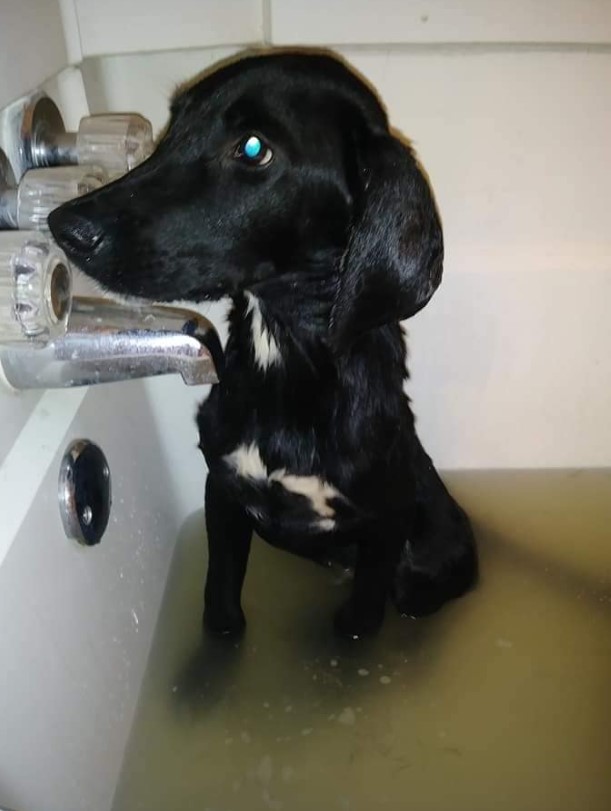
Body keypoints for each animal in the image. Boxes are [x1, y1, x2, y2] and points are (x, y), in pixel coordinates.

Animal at [49, 49, 478, 640]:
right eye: (175, 124)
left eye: (253, 149)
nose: (63, 226)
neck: (280, 351)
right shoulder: (223, 491)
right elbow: (221, 603)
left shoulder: (385, 525)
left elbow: (359, 621)